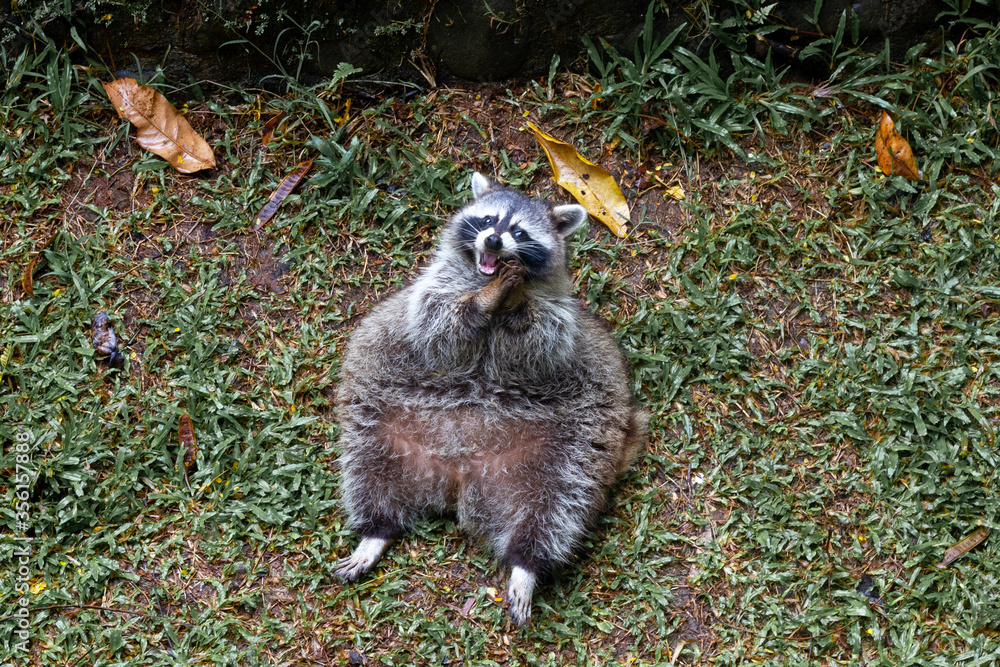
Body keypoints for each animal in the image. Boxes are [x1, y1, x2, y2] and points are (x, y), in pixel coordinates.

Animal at [334, 172, 647, 626]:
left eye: (519, 232)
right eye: (487, 220)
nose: (495, 241)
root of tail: (457, 477)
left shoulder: (557, 316)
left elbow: (538, 344)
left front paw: (515, 303)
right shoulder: (434, 288)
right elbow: (435, 327)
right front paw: (481, 302)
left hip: (563, 449)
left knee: (557, 506)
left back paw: (527, 563)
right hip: (384, 422)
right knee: (368, 468)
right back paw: (376, 529)